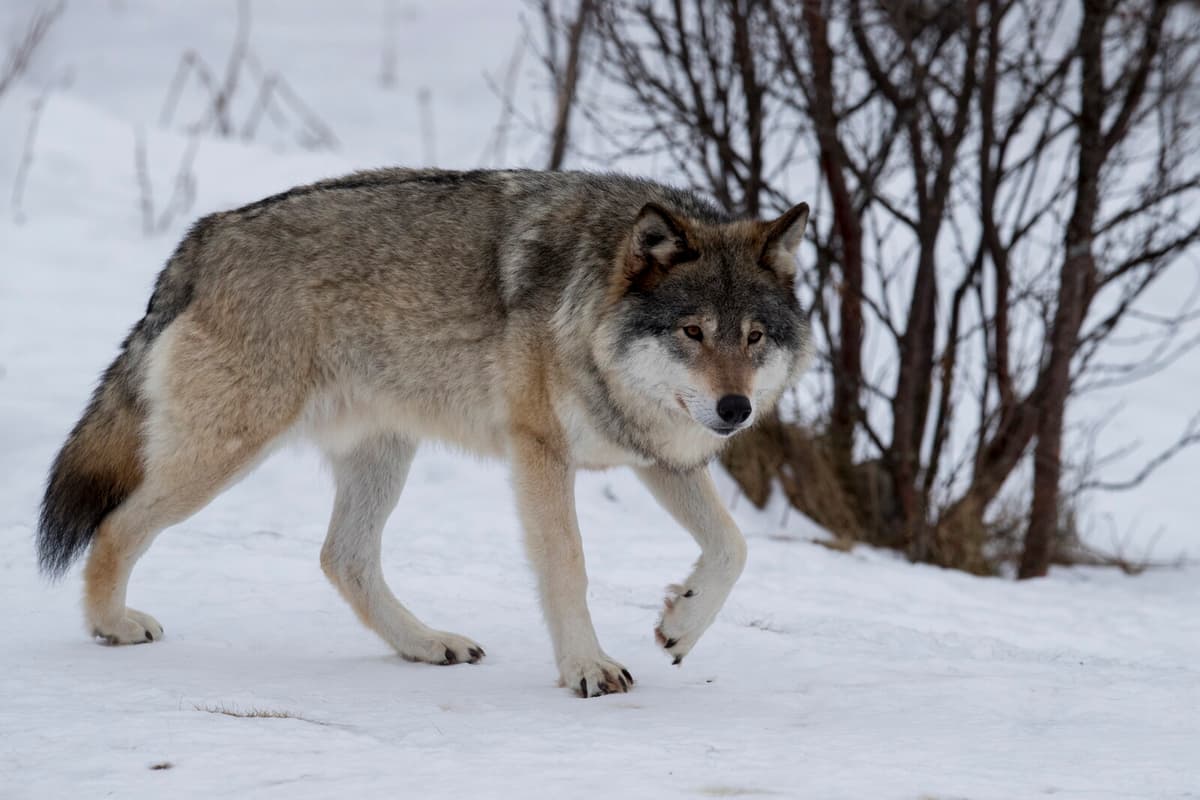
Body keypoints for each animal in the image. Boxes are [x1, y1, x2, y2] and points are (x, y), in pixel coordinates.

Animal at [37, 168, 811, 697]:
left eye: (754, 336)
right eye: (693, 332)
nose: (736, 410)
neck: (588, 311)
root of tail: (205, 235)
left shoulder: (661, 459)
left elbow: (734, 548)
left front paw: (681, 622)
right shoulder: (540, 452)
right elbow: (568, 566)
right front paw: (586, 668)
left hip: (381, 455)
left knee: (342, 559)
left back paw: (425, 643)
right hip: (227, 452)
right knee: (117, 526)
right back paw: (112, 625)